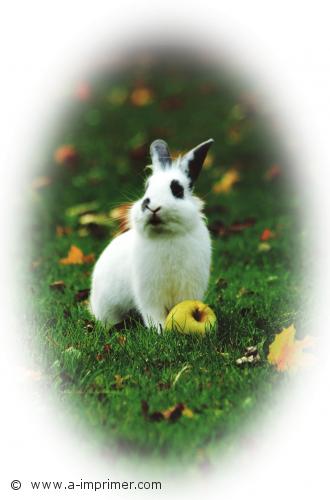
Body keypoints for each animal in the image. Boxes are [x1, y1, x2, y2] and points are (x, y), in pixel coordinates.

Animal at [89, 138, 214, 332]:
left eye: (177, 190)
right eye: (147, 188)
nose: (151, 206)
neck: (167, 235)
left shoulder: (188, 289)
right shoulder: (149, 293)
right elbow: (152, 313)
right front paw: (160, 330)